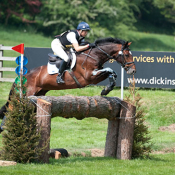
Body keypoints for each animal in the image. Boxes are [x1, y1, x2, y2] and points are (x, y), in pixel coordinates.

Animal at [0, 36, 136, 119]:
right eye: (126, 54)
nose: (133, 70)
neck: (93, 55)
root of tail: (22, 76)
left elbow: (112, 73)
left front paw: (106, 90)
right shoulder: (89, 77)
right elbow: (110, 70)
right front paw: (106, 89)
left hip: (40, 93)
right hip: (27, 93)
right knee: (12, 107)